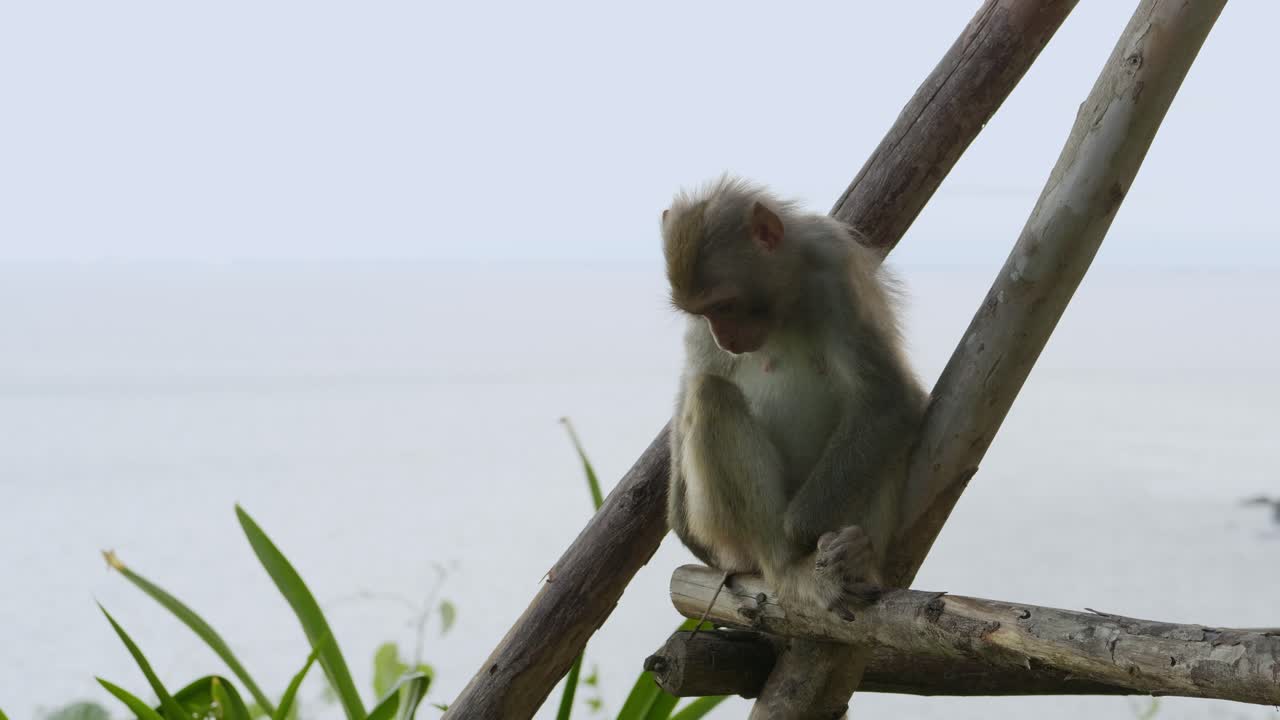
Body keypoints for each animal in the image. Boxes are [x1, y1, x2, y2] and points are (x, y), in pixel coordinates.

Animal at [662, 175, 927, 617]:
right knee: (710, 394)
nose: (724, 338)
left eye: (724, 304)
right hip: (729, 536)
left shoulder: (835, 270)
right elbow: (693, 386)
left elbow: (886, 399)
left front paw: (800, 532)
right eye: (703, 313)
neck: (786, 298)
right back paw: (784, 565)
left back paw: (848, 558)